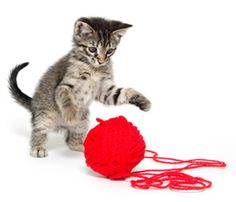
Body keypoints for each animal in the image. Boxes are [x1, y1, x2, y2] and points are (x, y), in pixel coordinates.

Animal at [8, 17, 151, 158]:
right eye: (92, 49)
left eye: (110, 51)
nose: (101, 61)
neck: (94, 68)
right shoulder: (64, 85)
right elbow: (66, 98)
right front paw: (71, 114)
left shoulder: (104, 90)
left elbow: (124, 92)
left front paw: (144, 101)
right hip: (44, 114)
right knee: (39, 130)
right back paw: (38, 148)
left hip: (83, 120)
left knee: (70, 141)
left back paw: (81, 146)